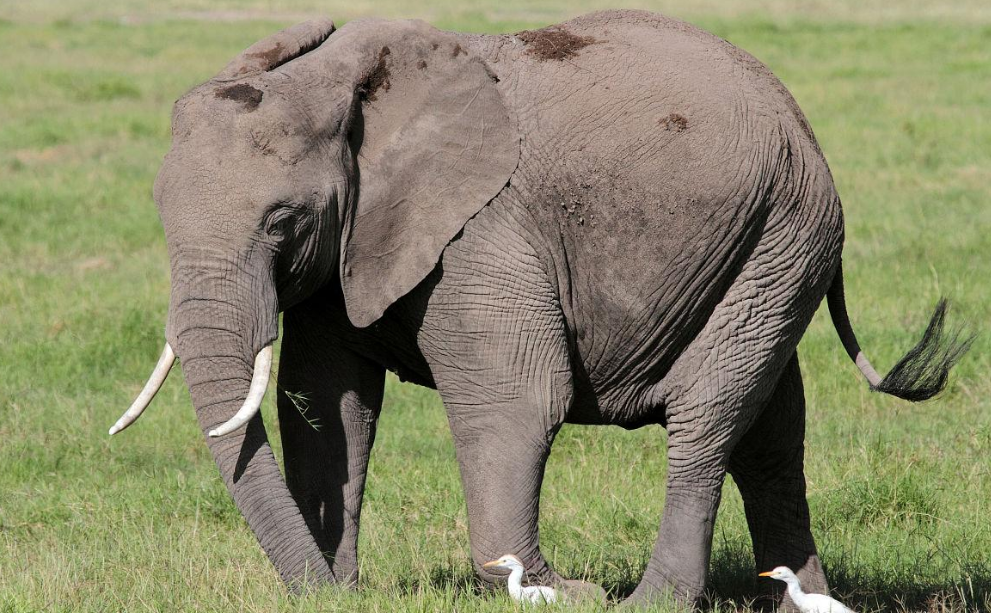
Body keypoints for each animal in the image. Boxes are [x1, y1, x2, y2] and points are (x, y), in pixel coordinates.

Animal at [110, 10, 971, 606]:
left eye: (282, 221)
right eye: (157, 214)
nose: (324, 589)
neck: (335, 85)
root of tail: (799, 119)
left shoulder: (480, 231)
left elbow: (514, 400)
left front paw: (555, 591)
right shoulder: (350, 248)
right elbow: (327, 403)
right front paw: (336, 591)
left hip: (782, 235)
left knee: (708, 415)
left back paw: (647, 602)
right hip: (765, 245)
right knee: (771, 430)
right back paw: (799, 599)